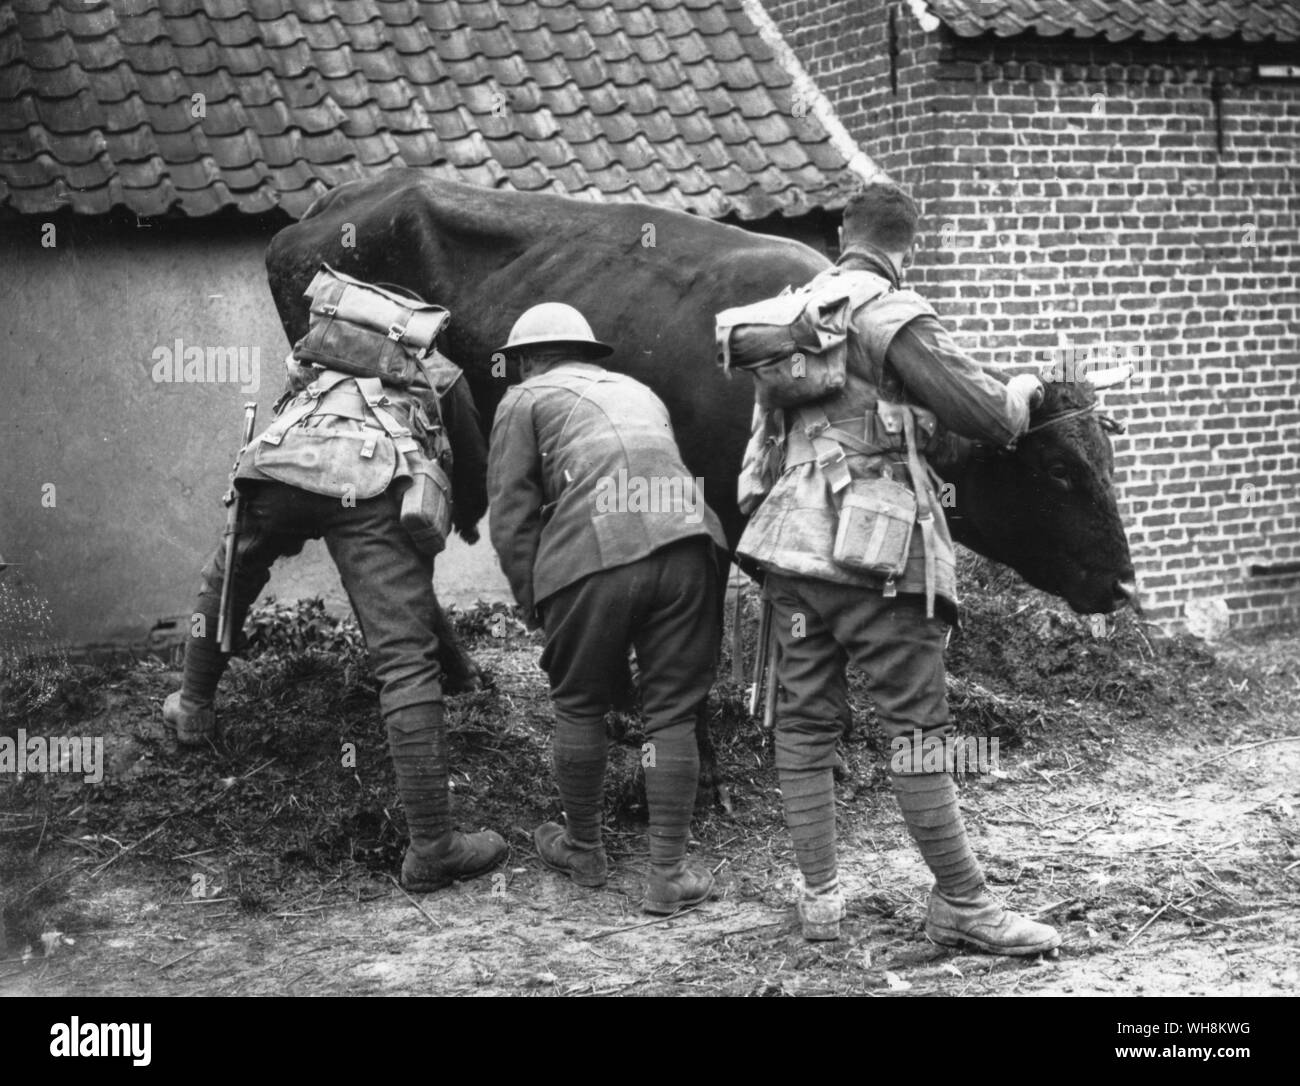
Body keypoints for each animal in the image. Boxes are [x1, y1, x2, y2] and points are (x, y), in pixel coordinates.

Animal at [266, 165, 1138, 707]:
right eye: (1060, 472)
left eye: (1107, 460)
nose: (1126, 587)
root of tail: (331, 204)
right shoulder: (708, 505)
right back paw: (456, 674)